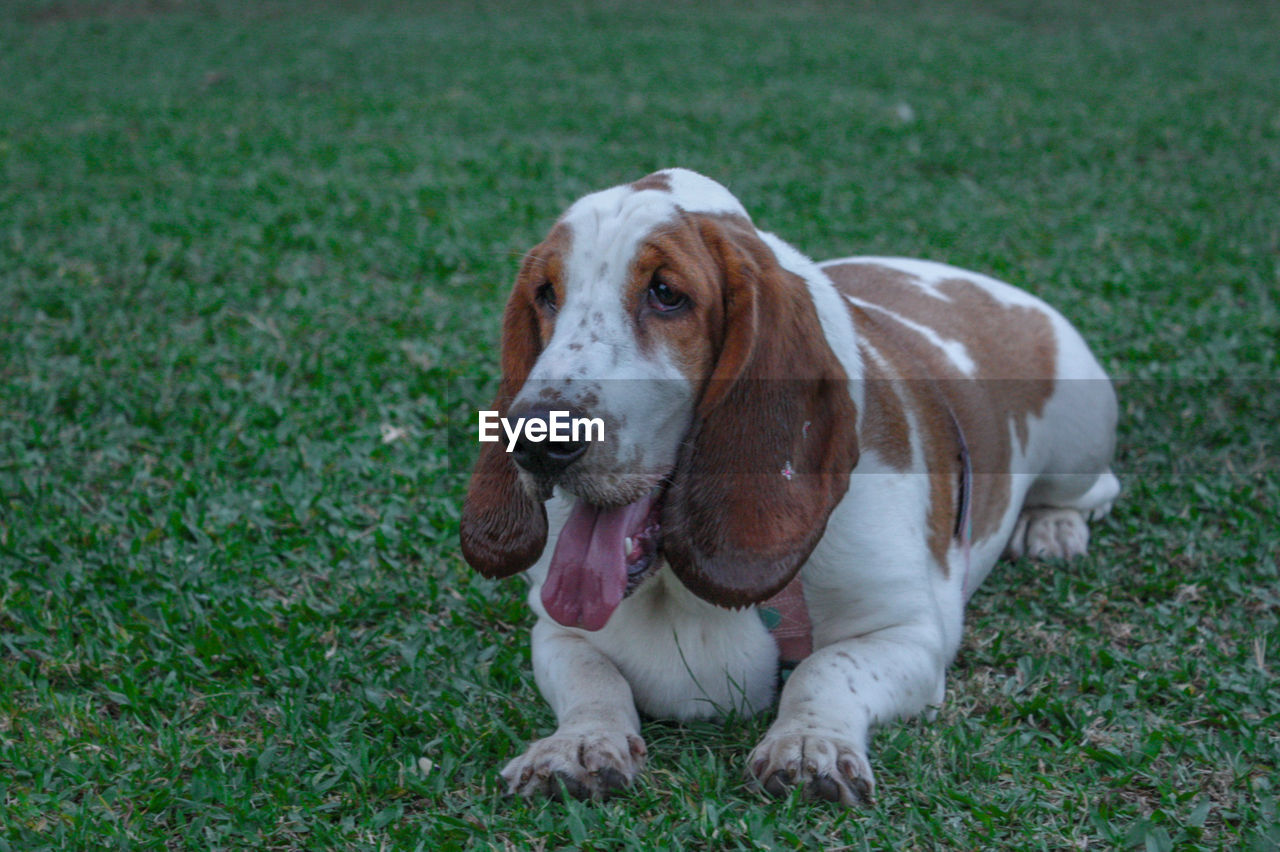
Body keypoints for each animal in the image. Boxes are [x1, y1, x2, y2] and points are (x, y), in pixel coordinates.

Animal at [455, 167, 1116, 803]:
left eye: (666, 294)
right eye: (546, 294)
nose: (535, 438)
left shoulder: (909, 633)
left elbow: (825, 669)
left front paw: (806, 744)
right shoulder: (557, 630)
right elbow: (596, 682)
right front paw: (577, 746)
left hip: (1080, 438)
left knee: (1093, 491)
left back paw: (1053, 528)